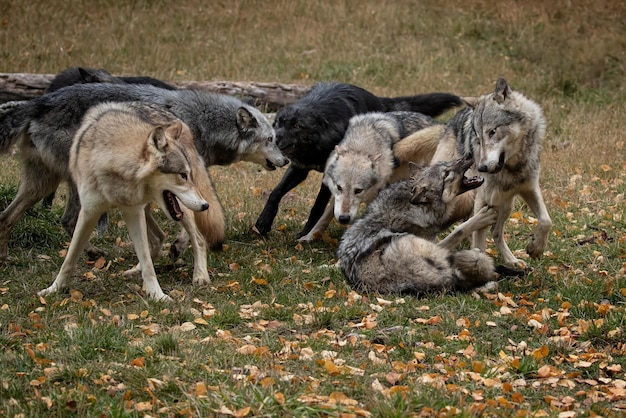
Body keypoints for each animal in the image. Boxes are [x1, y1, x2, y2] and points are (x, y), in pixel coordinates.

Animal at [0, 82, 288, 262]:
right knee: (68, 220)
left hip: (41, 186)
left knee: (7, 217)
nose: (286, 160)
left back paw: (6, 257)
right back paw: (92, 254)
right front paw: (176, 248)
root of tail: (39, 102)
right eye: (271, 139)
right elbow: (189, 221)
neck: (204, 123)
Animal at [39, 103, 214, 302]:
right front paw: (54, 289)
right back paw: (134, 270)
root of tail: (176, 118)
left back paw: (200, 275)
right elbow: (69, 258)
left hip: (171, 210)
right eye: (182, 175)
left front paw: (157, 295)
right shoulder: (90, 212)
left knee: (197, 238)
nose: (205, 205)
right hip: (147, 211)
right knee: (159, 237)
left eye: (188, 175)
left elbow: (147, 261)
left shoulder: (133, 213)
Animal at [298, 110, 438, 242]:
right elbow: (324, 217)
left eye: (358, 190)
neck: (360, 146)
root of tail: (437, 124)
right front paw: (309, 237)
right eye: (339, 188)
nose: (344, 219)